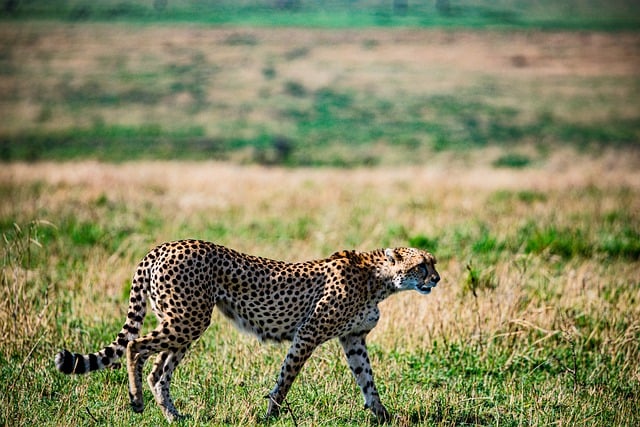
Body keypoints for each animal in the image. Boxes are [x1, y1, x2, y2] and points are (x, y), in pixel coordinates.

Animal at [55, 241, 440, 424]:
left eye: (432, 263)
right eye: (422, 265)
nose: (437, 279)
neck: (378, 280)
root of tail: (163, 246)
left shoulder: (353, 339)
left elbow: (368, 380)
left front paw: (383, 416)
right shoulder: (309, 333)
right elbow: (286, 378)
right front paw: (270, 415)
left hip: (183, 321)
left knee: (158, 370)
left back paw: (174, 416)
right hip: (188, 318)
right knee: (136, 346)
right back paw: (136, 401)